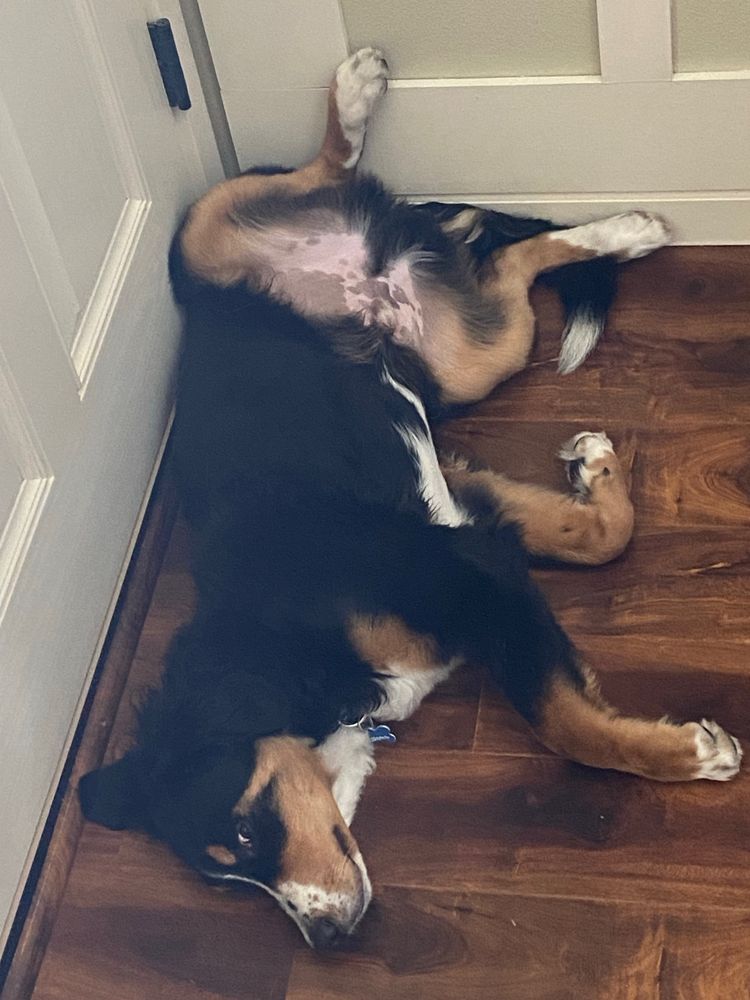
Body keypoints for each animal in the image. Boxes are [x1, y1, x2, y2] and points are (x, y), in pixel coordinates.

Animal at [79, 49, 742, 949]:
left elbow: (564, 721)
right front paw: (595, 470)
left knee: (316, 170)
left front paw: (695, 755)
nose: (326, 940)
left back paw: (359, 92)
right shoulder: (462, 514)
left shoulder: (466, 575)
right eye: (226, 879)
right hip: (474, 354)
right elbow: (594, 536)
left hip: (207, 240)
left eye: (245, 831)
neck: (286, 637)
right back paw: (624, 231)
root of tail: (355, 273)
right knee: (510, 265)